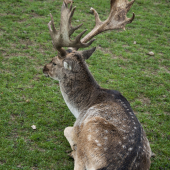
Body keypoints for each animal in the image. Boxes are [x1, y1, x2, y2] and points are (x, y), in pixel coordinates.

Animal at [42, 0, 151, 169]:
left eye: (54, 62)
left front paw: (72, 147)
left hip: (88, 142)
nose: (44, 68)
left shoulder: (77, 126)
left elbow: (66, 129)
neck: (80, 108)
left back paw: (73, 151)